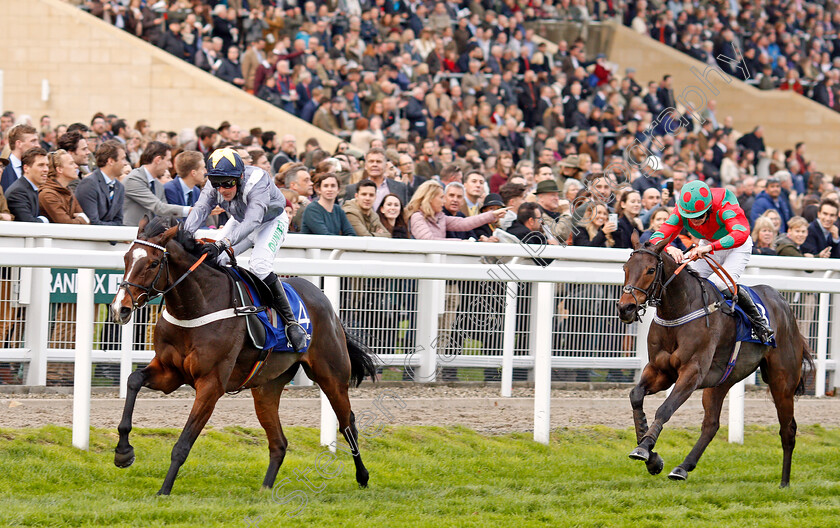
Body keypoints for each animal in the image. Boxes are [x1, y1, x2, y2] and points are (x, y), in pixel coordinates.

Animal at [109, 217, 378, 498]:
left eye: (152, 263)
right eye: (126, 258)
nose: (120, 308)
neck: (196, 308)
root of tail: (324, 299)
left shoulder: (211, 383)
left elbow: (183, 443)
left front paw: (163, 491)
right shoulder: (169, 372)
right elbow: (133, 379)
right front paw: (123, 453)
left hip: (331, 376)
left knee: (348, 424)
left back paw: (362, 476)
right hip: (267, 387)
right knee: (279, 442)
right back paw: (265, 490)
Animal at [616, 239, 812, 486]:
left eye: (650, 270)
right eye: (625, 268)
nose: (626, 308)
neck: (679, 310)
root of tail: (783, 304)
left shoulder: (692, 372)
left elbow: (665, 408)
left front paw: (645, 448)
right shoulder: (660, 371)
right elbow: (636, 396)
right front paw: (652, 458)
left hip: (782, 383)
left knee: (788, 430)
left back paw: (784, 483)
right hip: (721, 382)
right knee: (711, 424)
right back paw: (682, 468)